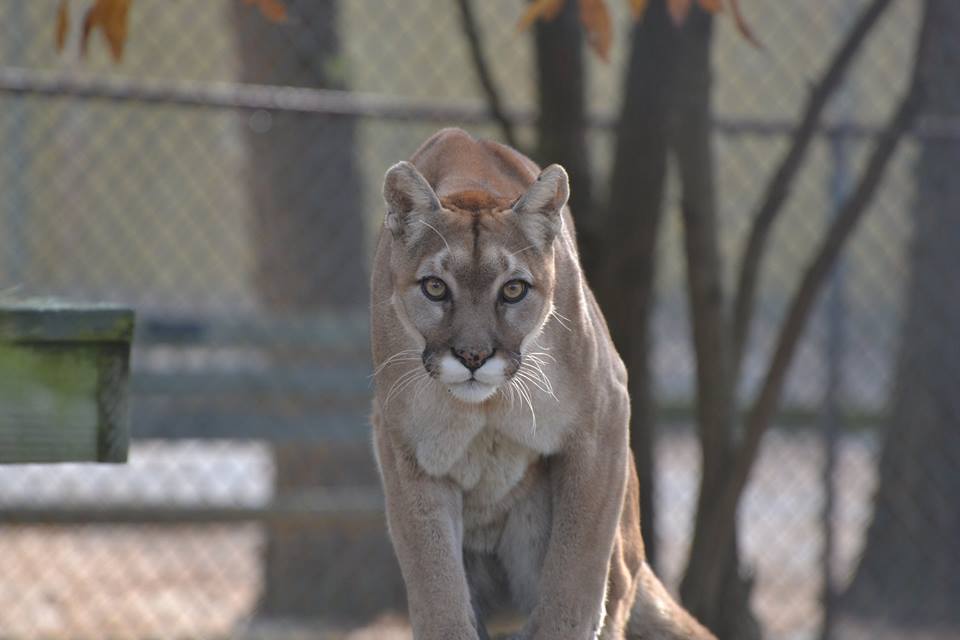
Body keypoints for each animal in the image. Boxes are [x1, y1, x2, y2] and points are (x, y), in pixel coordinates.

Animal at [370, 128, 715, 640]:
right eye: (435, 287)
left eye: (513, 289)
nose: (473, 356)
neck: (486, 406)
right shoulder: (404, 449)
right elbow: (436, 588)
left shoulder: (602, 418)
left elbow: (573, 577)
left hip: (615, 546)